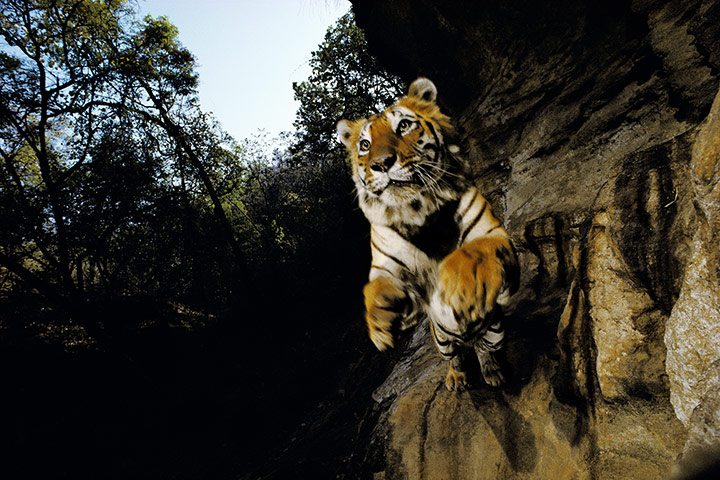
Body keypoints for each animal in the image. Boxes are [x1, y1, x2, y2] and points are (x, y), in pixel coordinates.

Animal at [337, 78, 520, 391]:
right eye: (365, 145)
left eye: (404, 126)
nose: (381, 163)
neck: (418, 210)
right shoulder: (389, 270)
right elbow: (376, 287)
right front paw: (380, 323)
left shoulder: (496, 235)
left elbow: (470, 252)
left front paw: (461, 284)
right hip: (442, 340)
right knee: (455, 356)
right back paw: (456, 378)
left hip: (496, 329)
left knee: (484, 348)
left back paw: (493, 372)